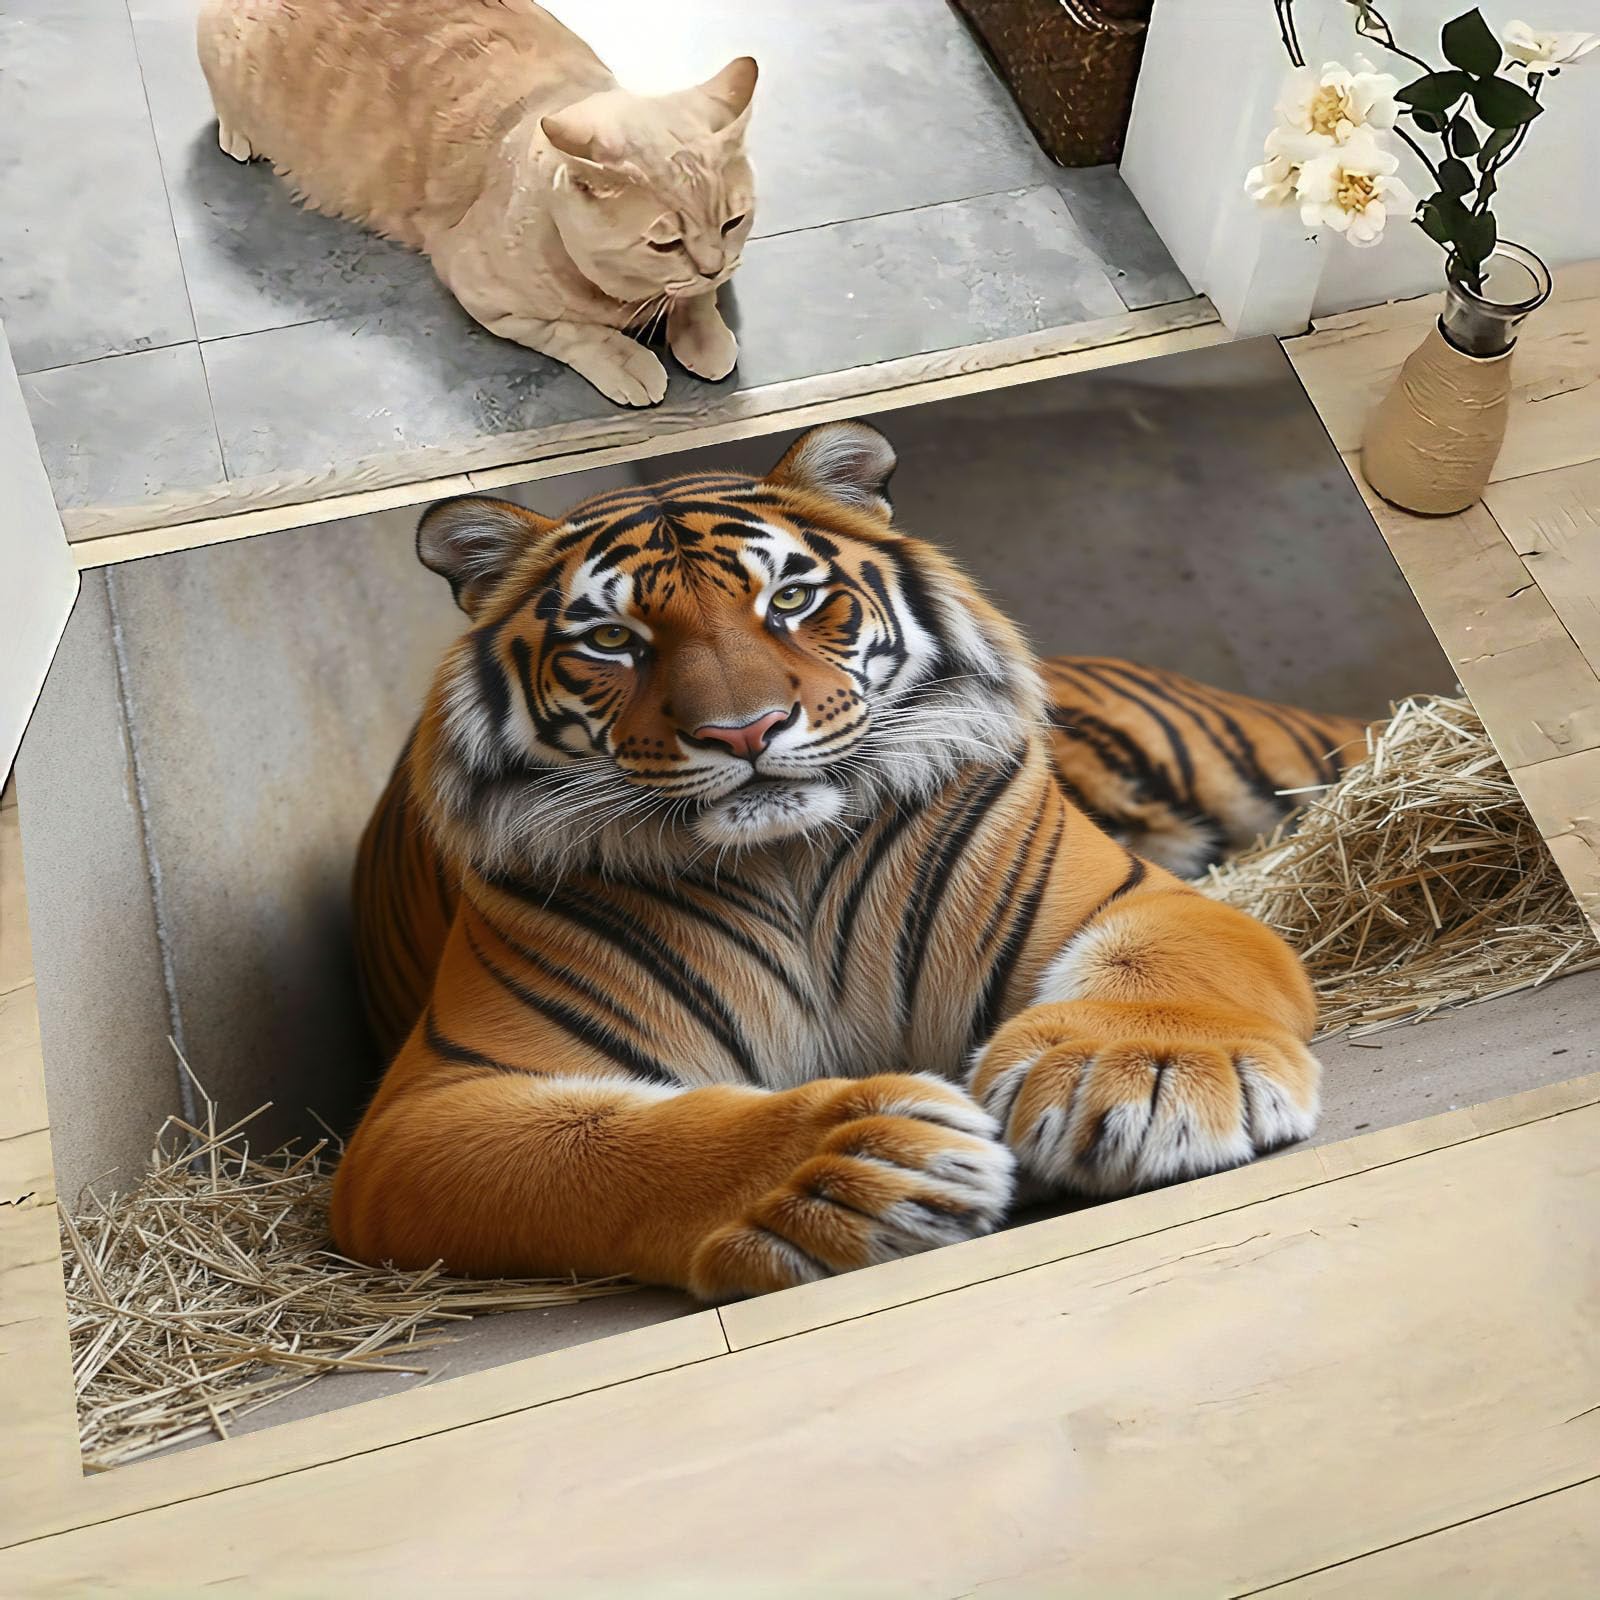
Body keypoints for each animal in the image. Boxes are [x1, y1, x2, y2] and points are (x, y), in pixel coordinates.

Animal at [331, 421, 1328, 1300]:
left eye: (790, 601)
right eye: (612, 640)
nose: (744, 731)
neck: (785, 860)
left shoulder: (1144, 898)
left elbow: (1162, 962)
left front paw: (1141, 1077)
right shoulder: (432, 1103)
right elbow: (596, 1152)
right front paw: (841, 1170)